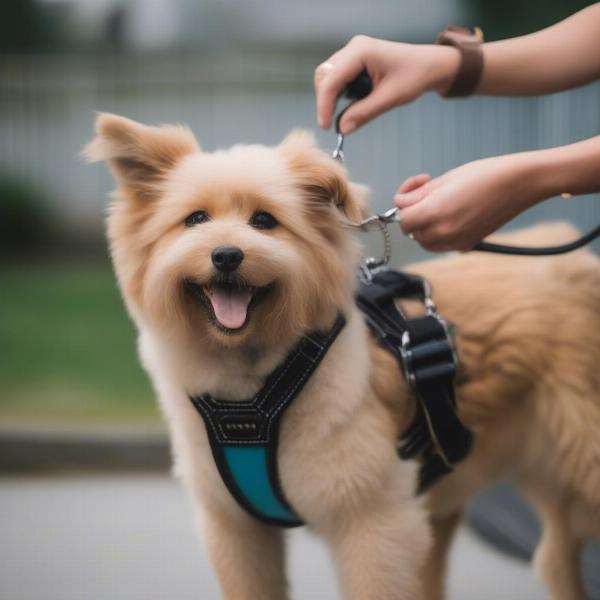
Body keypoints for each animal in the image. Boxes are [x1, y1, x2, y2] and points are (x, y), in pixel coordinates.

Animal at [88, 113, 600, 600]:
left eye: (264, 221)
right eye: (195, 219)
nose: (226, 255)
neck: (255, 387)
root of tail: (575, 260)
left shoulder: (376, 525)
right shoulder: (234, 530)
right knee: (553, 558)